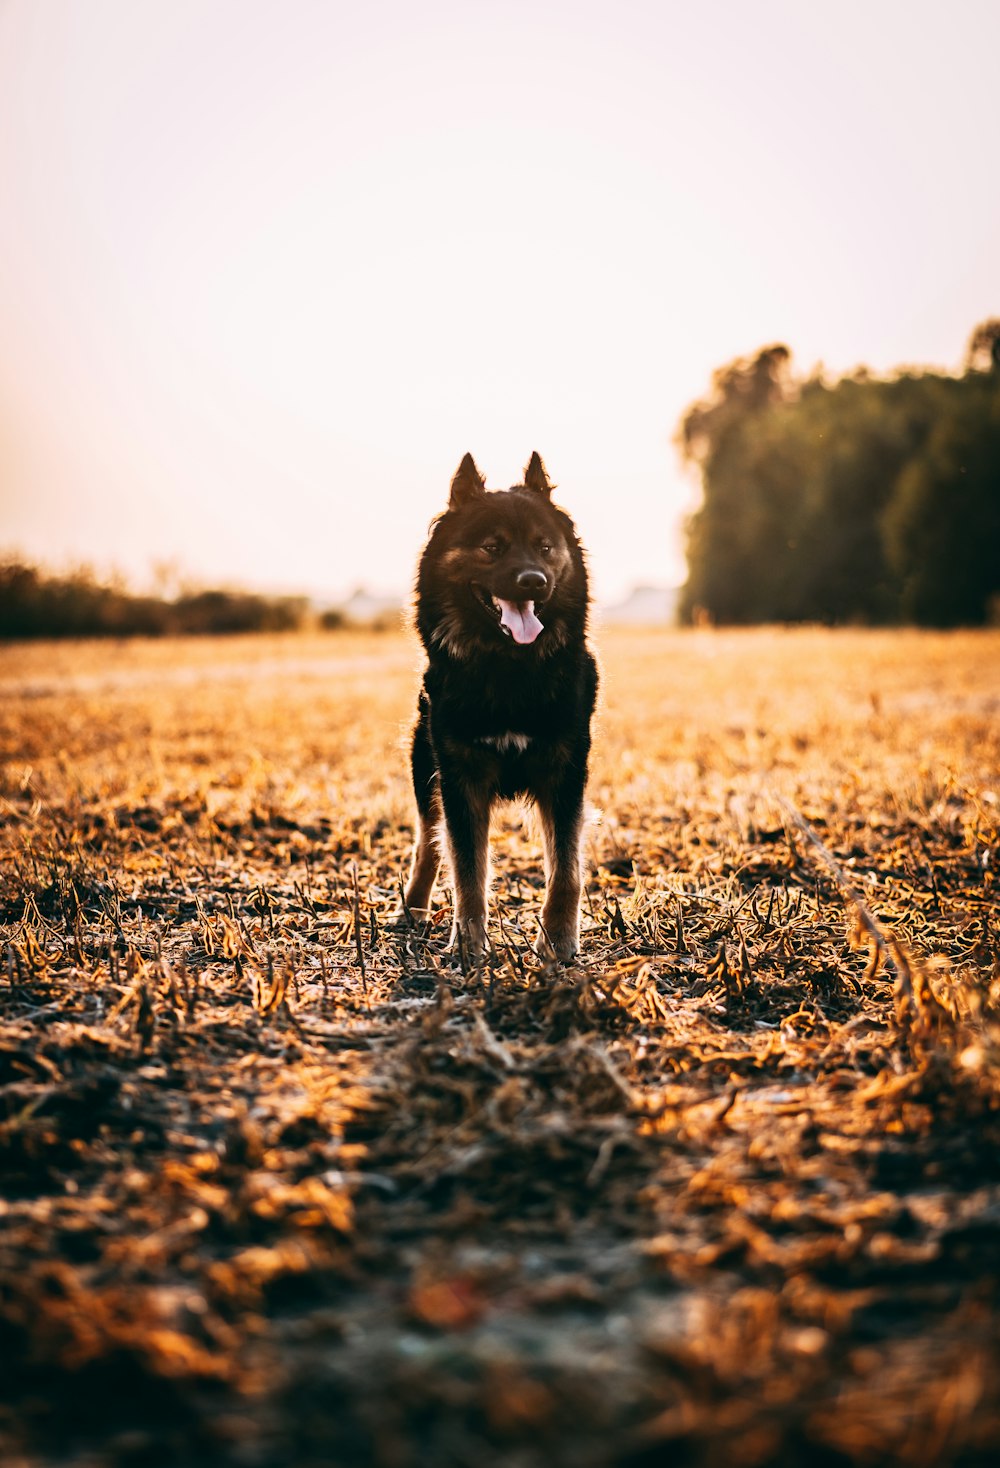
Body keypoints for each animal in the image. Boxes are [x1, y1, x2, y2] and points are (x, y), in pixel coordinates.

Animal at [399, 452, 596, 968]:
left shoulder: (565, 774)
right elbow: (467, 870)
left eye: (545, 547)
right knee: (428, 843)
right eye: (492, 547)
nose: (534, 581)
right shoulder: (459, 778)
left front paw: (559, 942)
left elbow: (565, 870)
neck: (509, 667)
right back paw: (412, 909)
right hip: (425, 769)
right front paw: (468, 946)